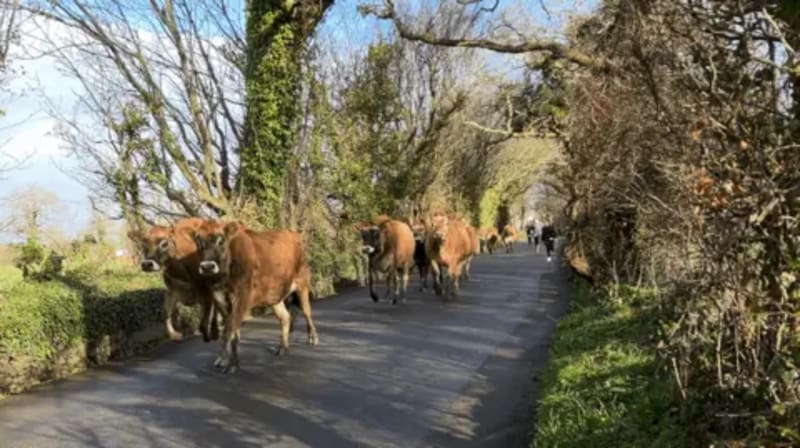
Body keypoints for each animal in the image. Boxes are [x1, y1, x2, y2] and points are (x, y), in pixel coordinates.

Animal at [191, 220, 319, 373]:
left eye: (221, 240)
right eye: (198, 241)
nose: (207, 266)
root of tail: (294, 235)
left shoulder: (242, 298)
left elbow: (230, 330)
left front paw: (227, 362)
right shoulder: (219, 298)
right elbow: (232, 332)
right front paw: (229, 362)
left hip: (302, 284)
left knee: (307, 311)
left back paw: (313, 338)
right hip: (274, 296)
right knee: (285, 317)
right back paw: (283, 348)